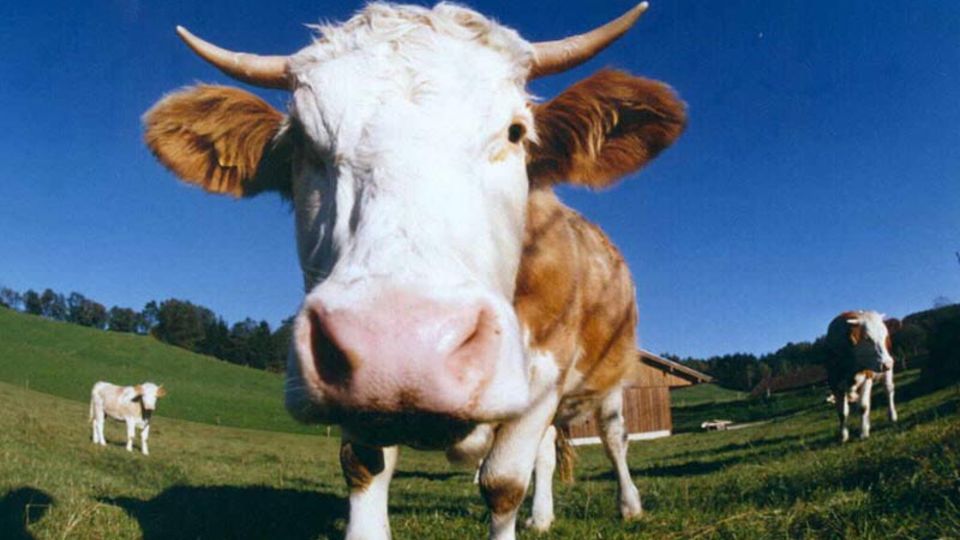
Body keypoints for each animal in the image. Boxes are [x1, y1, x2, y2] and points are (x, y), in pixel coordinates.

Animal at [143, 3, 685, 538]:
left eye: (516, 132)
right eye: (299, 140)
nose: (399, 347)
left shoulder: (543, 383)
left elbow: (503, 483)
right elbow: (363, 470)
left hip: (611, 378)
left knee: (613, 437)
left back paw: (629, 505)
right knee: (550, 457)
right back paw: (542, 516)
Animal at [824, 310, 899, 443]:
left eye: (885, 336)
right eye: (867, 338)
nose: (887, 364)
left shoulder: (867, 377)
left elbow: (863, 407)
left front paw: (863, 433)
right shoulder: (834, 383)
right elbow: (842, 412)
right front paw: (843, 436)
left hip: (887, 370)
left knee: (888, 390)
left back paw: (892, 416)